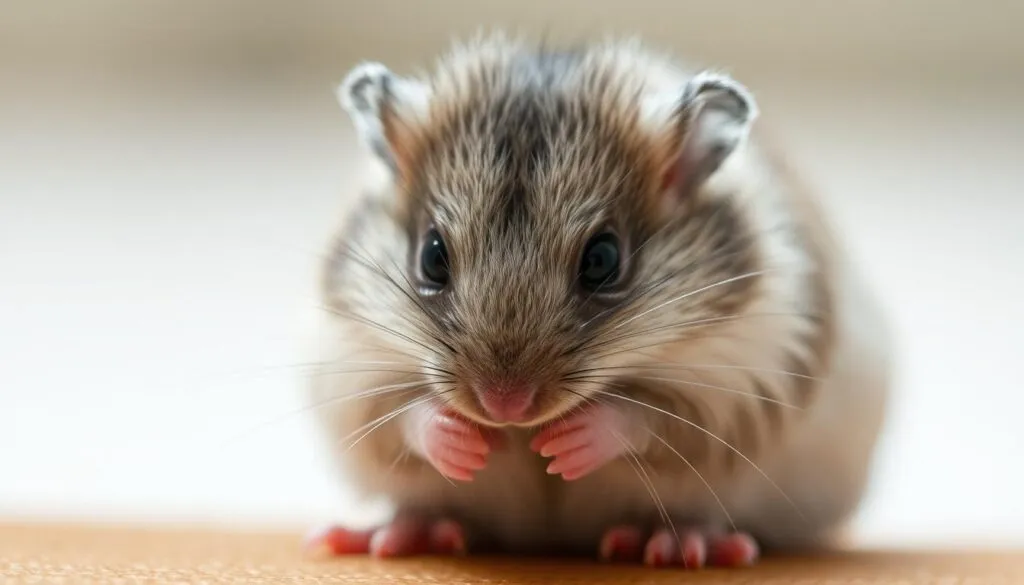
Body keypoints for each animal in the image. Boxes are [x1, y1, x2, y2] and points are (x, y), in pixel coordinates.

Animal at [306, 33, 892, 569]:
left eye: (602, 259)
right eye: (431, 256)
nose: (504, 408)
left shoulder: (738, 390)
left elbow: (644, 415)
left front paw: (562, 445)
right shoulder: (350, 375)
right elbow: (403, 414)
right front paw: (467, 442)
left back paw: (675, 544)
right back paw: (392, 534)